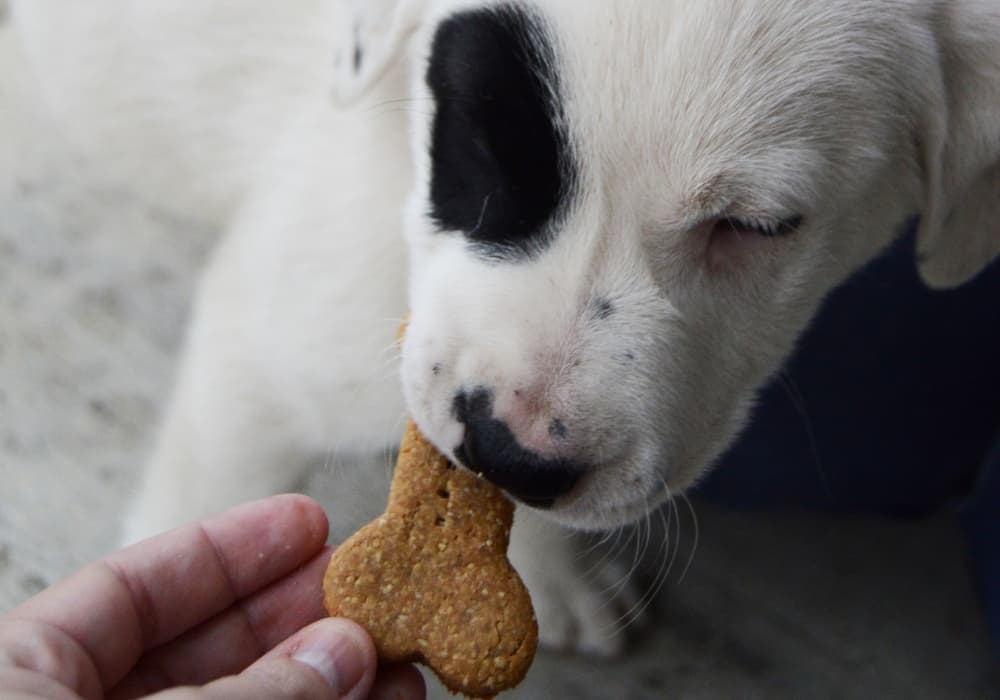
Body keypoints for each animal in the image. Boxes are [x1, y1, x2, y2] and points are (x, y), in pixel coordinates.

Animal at [9, 0, 1000, 656]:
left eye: (758, 228)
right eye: (481, 141)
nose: (506, 448)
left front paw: (548, 566)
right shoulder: (262, 356)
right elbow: (198, 513)